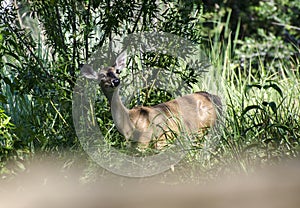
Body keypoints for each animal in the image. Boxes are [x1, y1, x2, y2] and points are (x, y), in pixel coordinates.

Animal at [81, 52, 221, 150]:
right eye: (101, 75)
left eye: (117, 71)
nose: (116, 81)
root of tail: (212, 96)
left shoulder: (149, 142)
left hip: (202, 129)